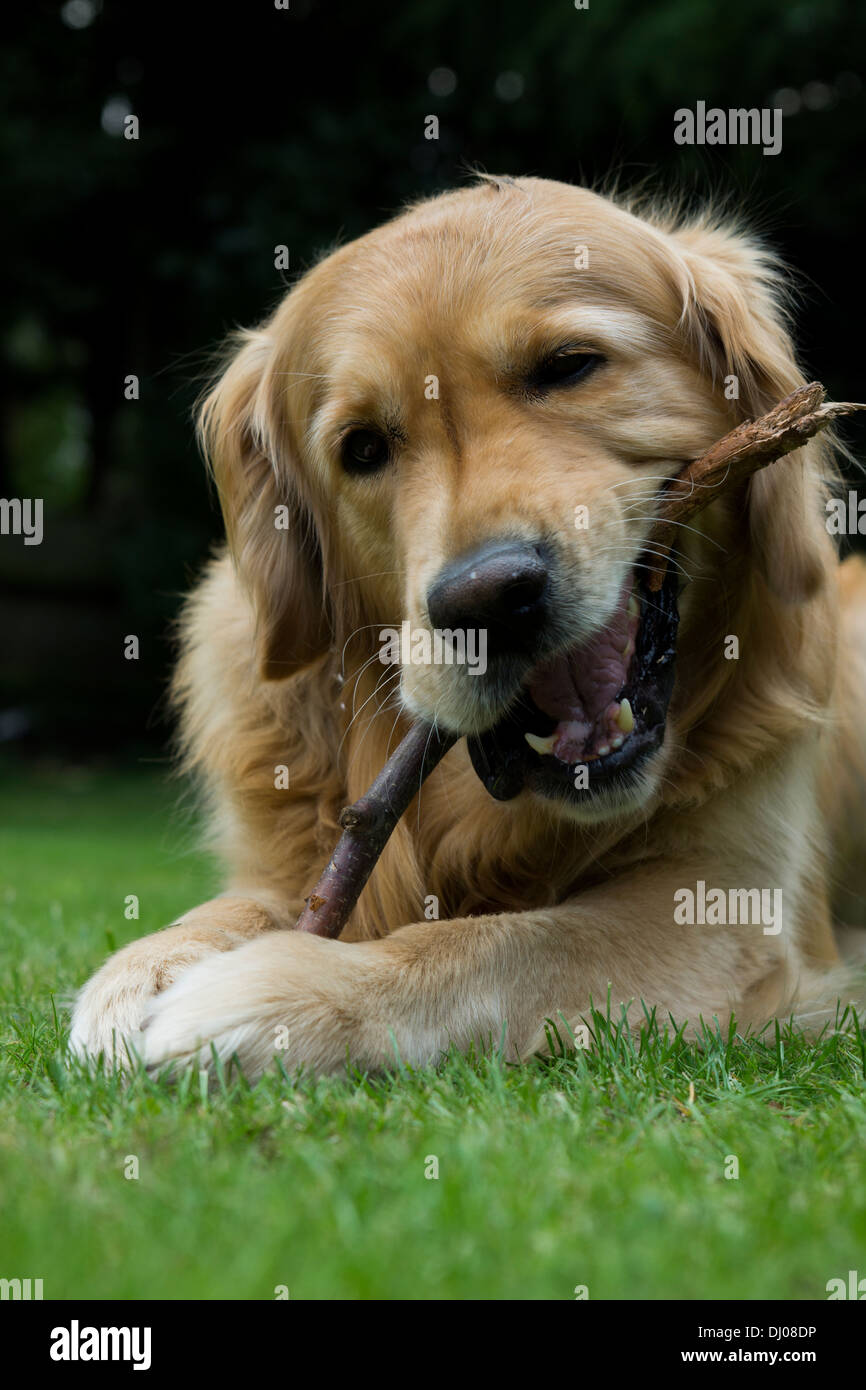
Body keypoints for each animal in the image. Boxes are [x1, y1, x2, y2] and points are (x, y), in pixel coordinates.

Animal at [67, 179, 866, 1078]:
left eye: (569, 366)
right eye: (363, 448)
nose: (487, 598)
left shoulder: (731, 905)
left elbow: (505, 944)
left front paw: (270, 994)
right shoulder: (296, 850)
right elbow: (246, 903)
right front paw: (148, 966)